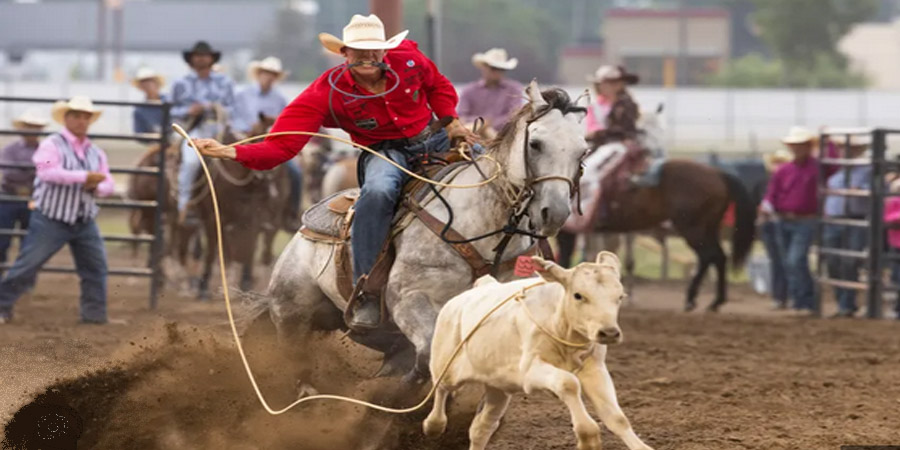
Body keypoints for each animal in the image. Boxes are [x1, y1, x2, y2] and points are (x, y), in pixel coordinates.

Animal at [171, 124, 580, 418]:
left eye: (582, 150)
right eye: (535, 145)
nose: (555, 212)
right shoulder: (410, 298)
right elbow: (428, 355)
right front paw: (401, 398)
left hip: (357, 323)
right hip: (292, 312)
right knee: (295, 361)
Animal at [422, 253, 652, 450]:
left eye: (620, 296)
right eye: (578, 295)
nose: (609, 333)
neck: (560, 324)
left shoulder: (594, 369)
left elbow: (616, 418)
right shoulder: (530, 371)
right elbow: (568, 383)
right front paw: (588, 437)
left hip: (498, 386)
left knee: (481, 427)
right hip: (447, 367)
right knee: (440, 389)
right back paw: (433, 425)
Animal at [560, 159, 756, 312]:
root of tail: (718, 173)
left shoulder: (568, 230)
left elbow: (564, 258)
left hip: (693, 228)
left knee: (708, 256)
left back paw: (692, 299)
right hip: (709, 228)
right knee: (719, 257)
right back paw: (716, 302)